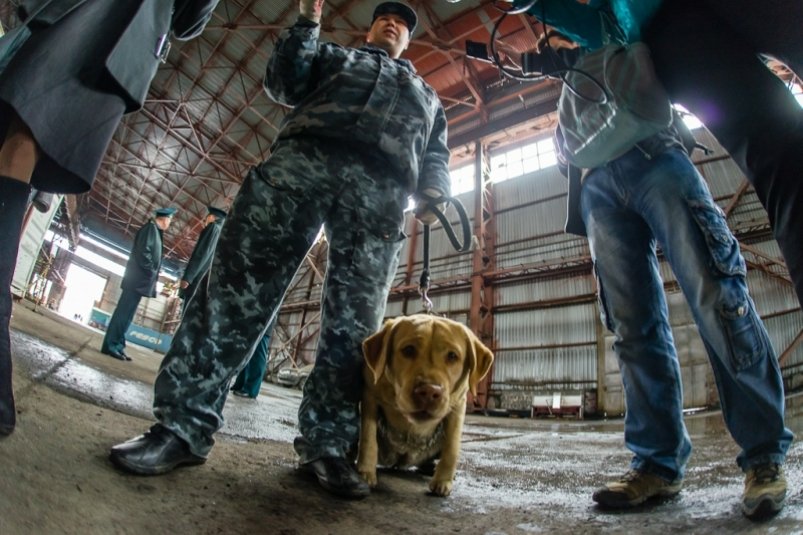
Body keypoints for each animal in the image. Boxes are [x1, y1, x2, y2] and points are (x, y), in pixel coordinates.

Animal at [360, 316, 496, 496]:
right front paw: (365, 472)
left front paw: (443, 480)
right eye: (408, 350)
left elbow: (452, 447)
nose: (429, 392)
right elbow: (368, 438)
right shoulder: (369, 395)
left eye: (452, 356)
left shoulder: (458, 406)